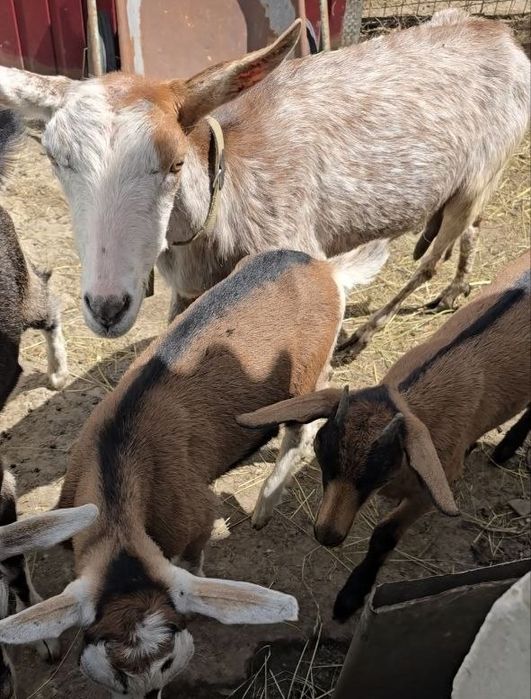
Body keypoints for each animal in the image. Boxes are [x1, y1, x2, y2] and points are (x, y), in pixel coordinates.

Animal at [0, 11, 528, 340]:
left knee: (429, 261)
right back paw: (455, 291)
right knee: (469, 232)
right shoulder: (188, 292)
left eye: (175, 162)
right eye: (55, 158)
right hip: (472, 183)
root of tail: (504, 38)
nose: (107, 307)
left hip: (485, 170)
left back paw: (366, 332)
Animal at [238, 250, 530, 622]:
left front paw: (349, 599)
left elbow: (384, 536)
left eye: (379, 469)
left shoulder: (428, 490)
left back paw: (505, 449)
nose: (327, 534)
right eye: (322, 451)